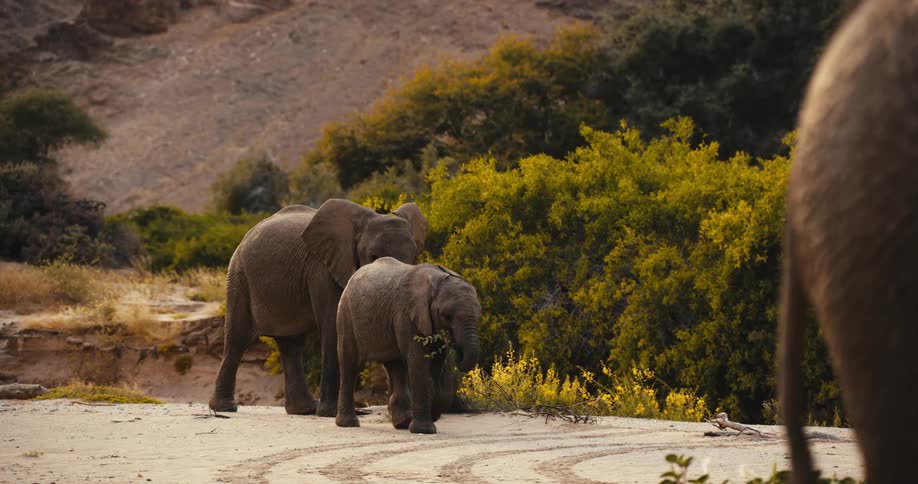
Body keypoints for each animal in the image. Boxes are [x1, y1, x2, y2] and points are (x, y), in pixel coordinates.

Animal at [209, 199, 427, 417]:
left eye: (413, 256)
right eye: (372, 256)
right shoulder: (322, 269)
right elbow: (333, 326)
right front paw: (330, 413)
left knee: (291, 345)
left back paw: (304, 410)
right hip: (239, 276)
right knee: (238, 338)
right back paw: (225, 408)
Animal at [334, 257, 481, 434]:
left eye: (479, 315)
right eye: (446, 315)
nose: (457, 349)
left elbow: (436, 364)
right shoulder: (406, 313)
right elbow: (418, 360)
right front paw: (424, 430)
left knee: (395, 365)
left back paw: (402, 423)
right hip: (346, 314)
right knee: (350, 364)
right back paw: (348, 424)